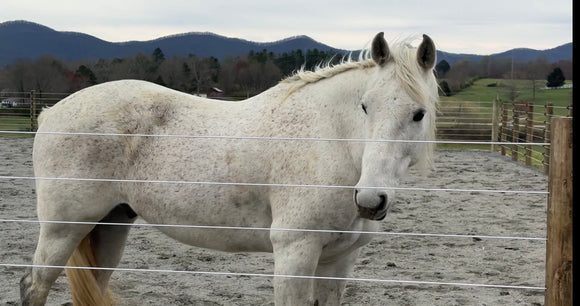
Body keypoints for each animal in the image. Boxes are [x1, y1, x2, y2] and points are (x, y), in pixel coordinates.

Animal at [21, 32, 440, 304]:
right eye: (365, 106)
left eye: (418, 114)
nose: (370, 201)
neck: (332, 142)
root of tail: (50, 112)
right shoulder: (296, 252)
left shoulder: (339, 260)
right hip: (63, 229)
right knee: (34, 285)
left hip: (110, 224)